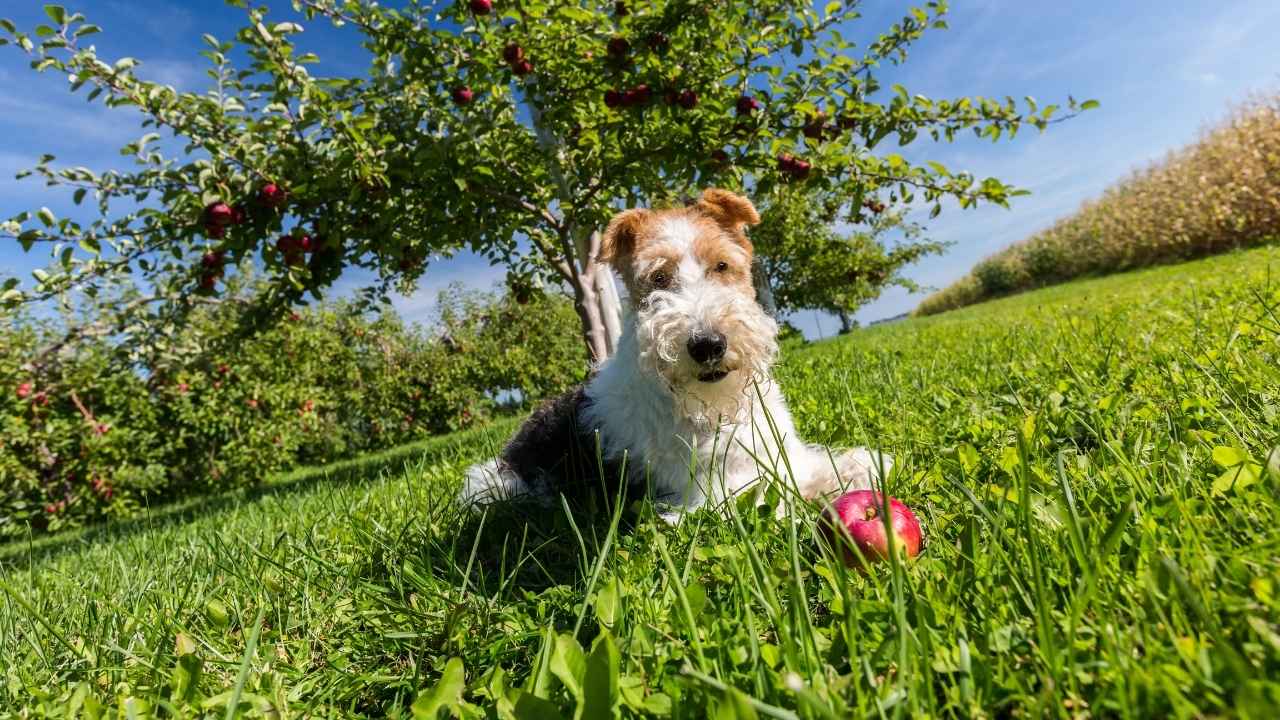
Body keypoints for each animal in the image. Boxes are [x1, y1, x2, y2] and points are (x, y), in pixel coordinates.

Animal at [460, 188, 890, 517]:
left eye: (722, 265)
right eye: (658, 278)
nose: (708, 344)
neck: (715, 409)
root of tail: (508, 451)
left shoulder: (782, 453)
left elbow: (826, 465)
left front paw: (869, 465)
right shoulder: (715, 497)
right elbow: (778, 499)